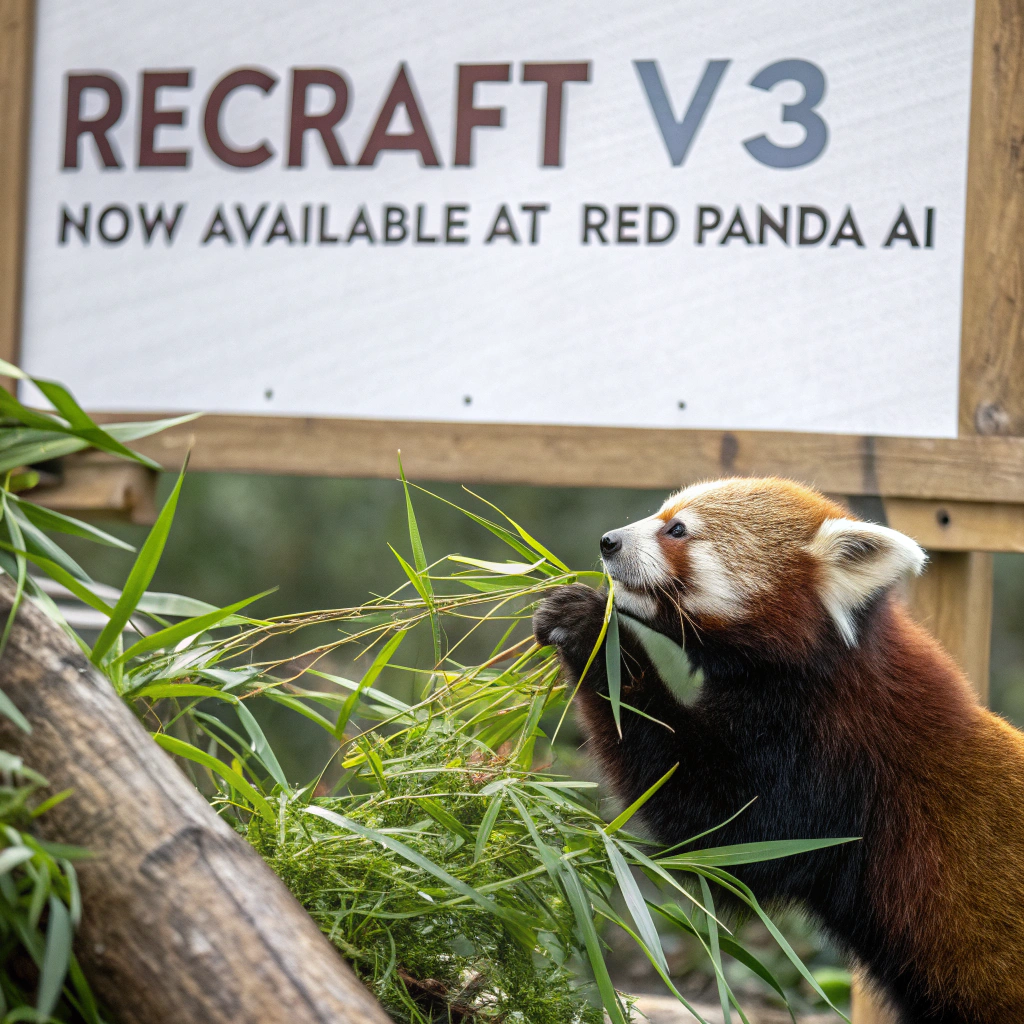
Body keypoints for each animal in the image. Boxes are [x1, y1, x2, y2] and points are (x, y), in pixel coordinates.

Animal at [532, 476, 1024, 1024]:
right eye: (659, 514)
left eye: (677, 530)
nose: (608, 542)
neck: (825, 667)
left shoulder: (831, 757)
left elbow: (721, 828)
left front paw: (589, 632)